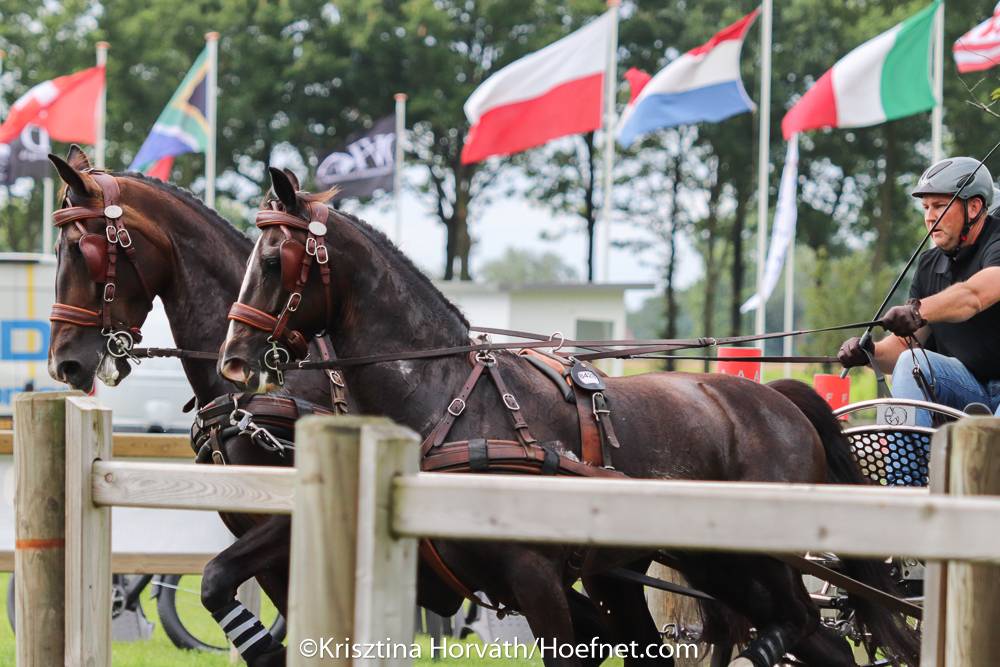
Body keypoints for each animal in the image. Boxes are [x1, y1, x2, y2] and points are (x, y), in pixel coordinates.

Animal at [219, 167, 921, 667]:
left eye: (274, 259)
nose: (234, 359)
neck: (453, 403)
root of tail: (780, 398)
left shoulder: (539, 582)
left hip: (760, 561)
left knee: (799, 625)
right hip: (706, 563)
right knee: (815, 640)